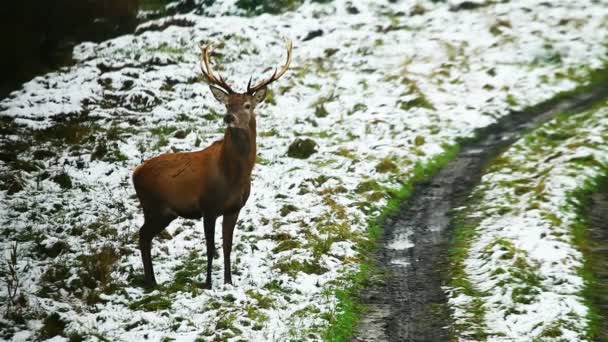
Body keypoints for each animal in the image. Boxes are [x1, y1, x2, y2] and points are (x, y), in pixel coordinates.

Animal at [132, 41, 294, 290]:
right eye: (227, 104)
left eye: (247, 105)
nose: (229, 118)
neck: (231, 175)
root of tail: (135, 173)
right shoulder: (207, 207)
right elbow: (210, 248)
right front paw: (208, 284)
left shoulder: (234, 208)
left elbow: (227, 245)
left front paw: (228, 282)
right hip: (154, 206)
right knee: (142, 235)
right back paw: (152, 281)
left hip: (164, 212)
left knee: (145, 235)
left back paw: (152, 281)